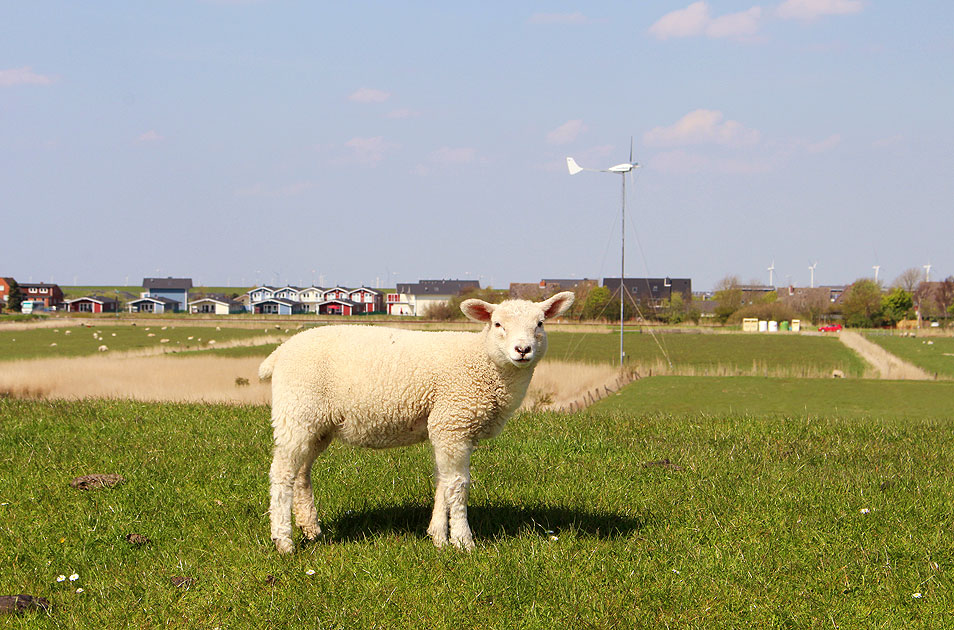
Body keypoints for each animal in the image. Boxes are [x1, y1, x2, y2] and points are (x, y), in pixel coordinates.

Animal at [258, 292, 572, 552]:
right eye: (497, 324)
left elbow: (443, 481)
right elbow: (458, 485)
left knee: (301, 473)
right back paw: (283, 541)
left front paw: (438, 537)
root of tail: (279, 353)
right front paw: (463, 541)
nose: (523, 350)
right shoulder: (453, 423)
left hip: (316, 424)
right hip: (296, 412)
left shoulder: (450, 428)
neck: (482, 362)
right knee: (282, 473)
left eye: (540, 324)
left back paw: (310, 529)